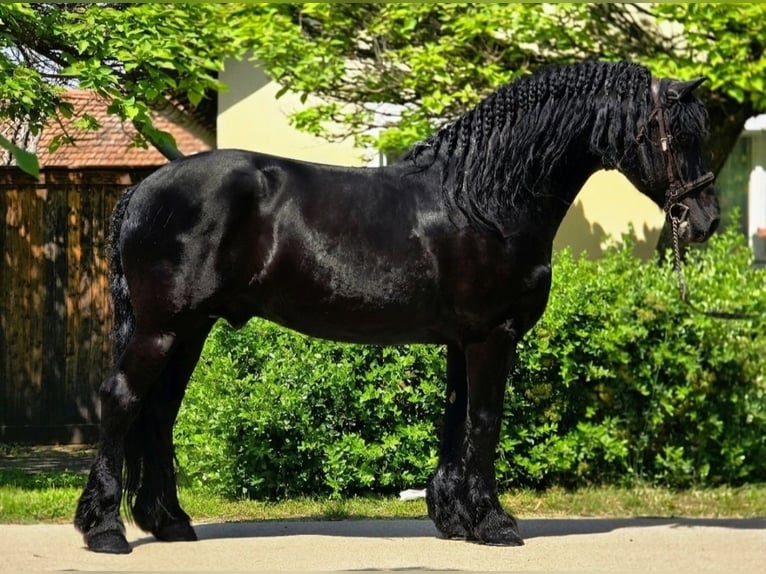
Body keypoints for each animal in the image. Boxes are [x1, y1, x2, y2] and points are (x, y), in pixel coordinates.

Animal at [74, 60, 720, 553]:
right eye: (680, 137)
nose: (706, 221)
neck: (485, 200)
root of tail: (143, 188)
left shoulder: (462, 340)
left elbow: (455, 421)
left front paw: (457, 520)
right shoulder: (492, 335)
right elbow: (486, 422)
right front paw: (496, 523)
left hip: (190, 329)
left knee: (158, 412)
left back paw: (169, 522)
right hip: (161, 329)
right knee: (123, 400)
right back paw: (106, 530)